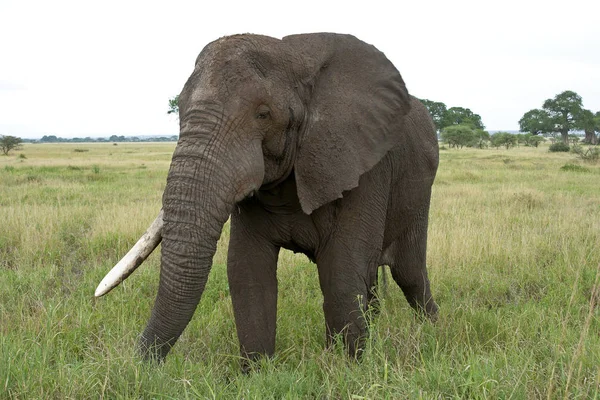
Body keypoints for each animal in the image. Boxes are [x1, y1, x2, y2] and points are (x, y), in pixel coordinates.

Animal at [96, 31, 438, 368]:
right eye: (178, 110)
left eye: (263, 114)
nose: (141, 364)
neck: (295, 56)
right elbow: (246, 268)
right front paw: (258, 373)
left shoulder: (363, 164)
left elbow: (342, 267)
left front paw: (347, 369)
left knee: (408, 274)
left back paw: (430, 332)